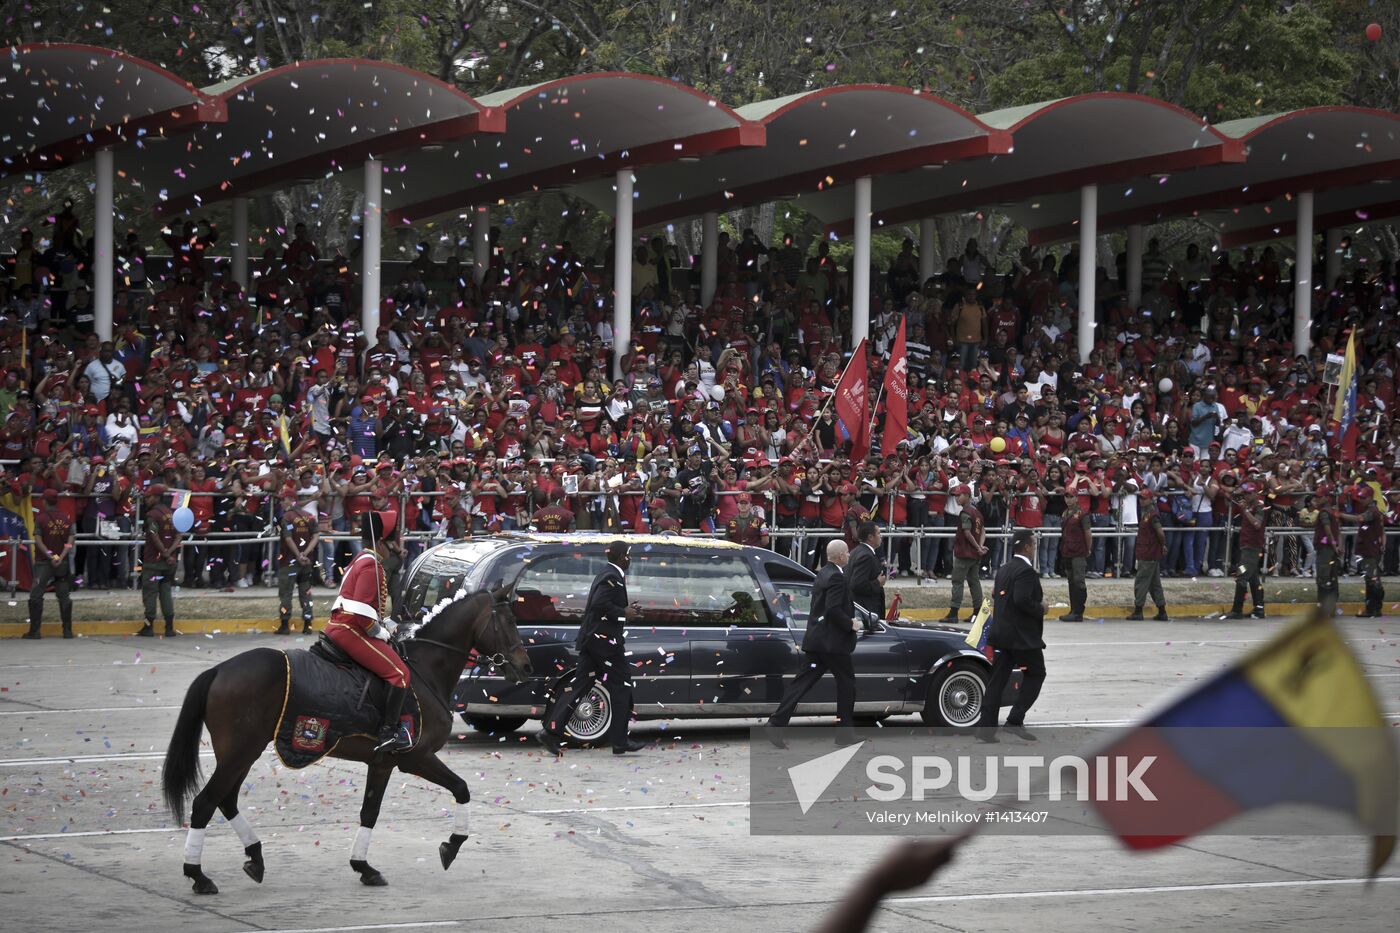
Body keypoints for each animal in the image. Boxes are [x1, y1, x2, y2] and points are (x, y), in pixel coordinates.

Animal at [161, 588, 532, 896]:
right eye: (510, 621)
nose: (526, 667)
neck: (426, 670)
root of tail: (220, 669)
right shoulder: (416, 757)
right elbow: (462, 789)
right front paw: (451, 845)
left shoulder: (382, 763)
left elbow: (370, 812)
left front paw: (363, 867)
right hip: (239, 753)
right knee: (205, 804)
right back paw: (198, 875)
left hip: (242, 754)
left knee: (226, 801)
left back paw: (255, 857)